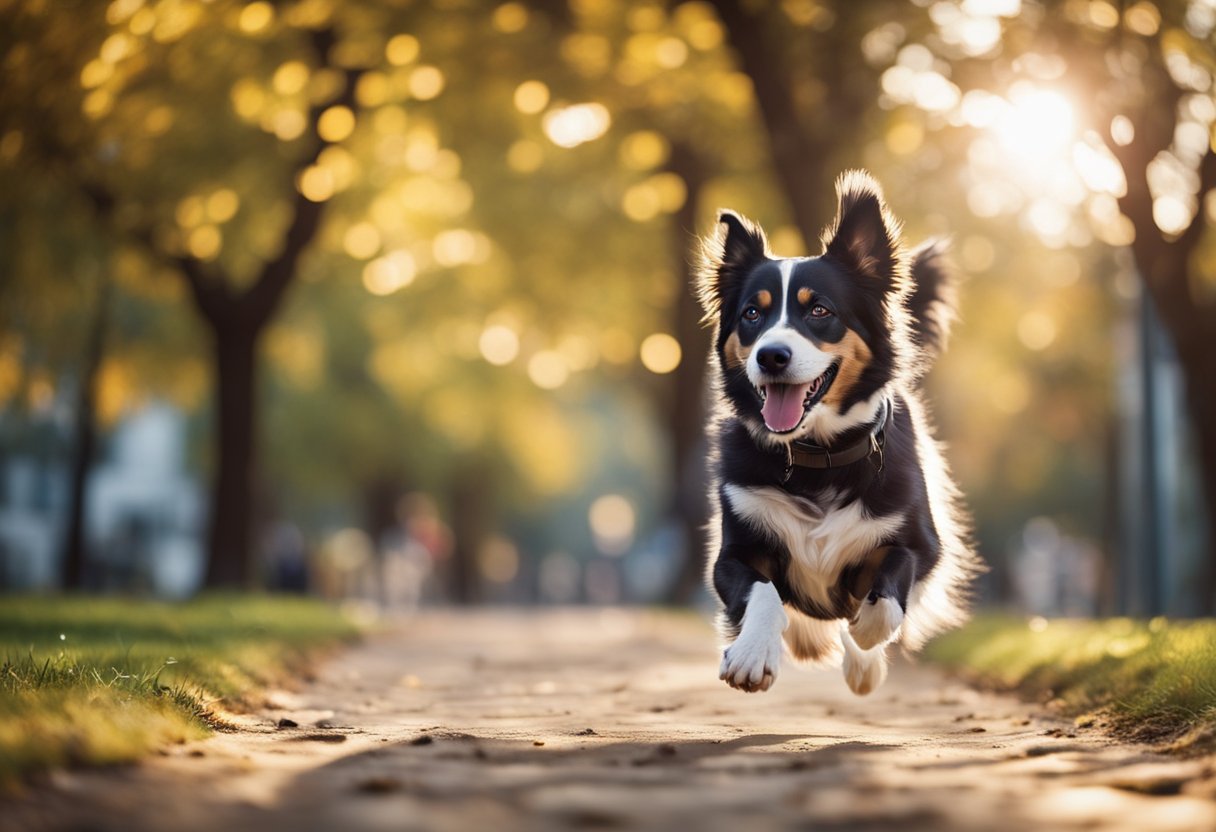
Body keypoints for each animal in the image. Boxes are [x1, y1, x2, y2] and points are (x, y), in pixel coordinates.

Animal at [700, 169, 982, 695]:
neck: (817, 456)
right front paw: (750, 654)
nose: (771, 356)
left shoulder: (921, 544)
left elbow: (885, 594)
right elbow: (763, 592)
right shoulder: (734, 550)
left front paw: (863, 640)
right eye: (752, 314)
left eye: (819, 311)